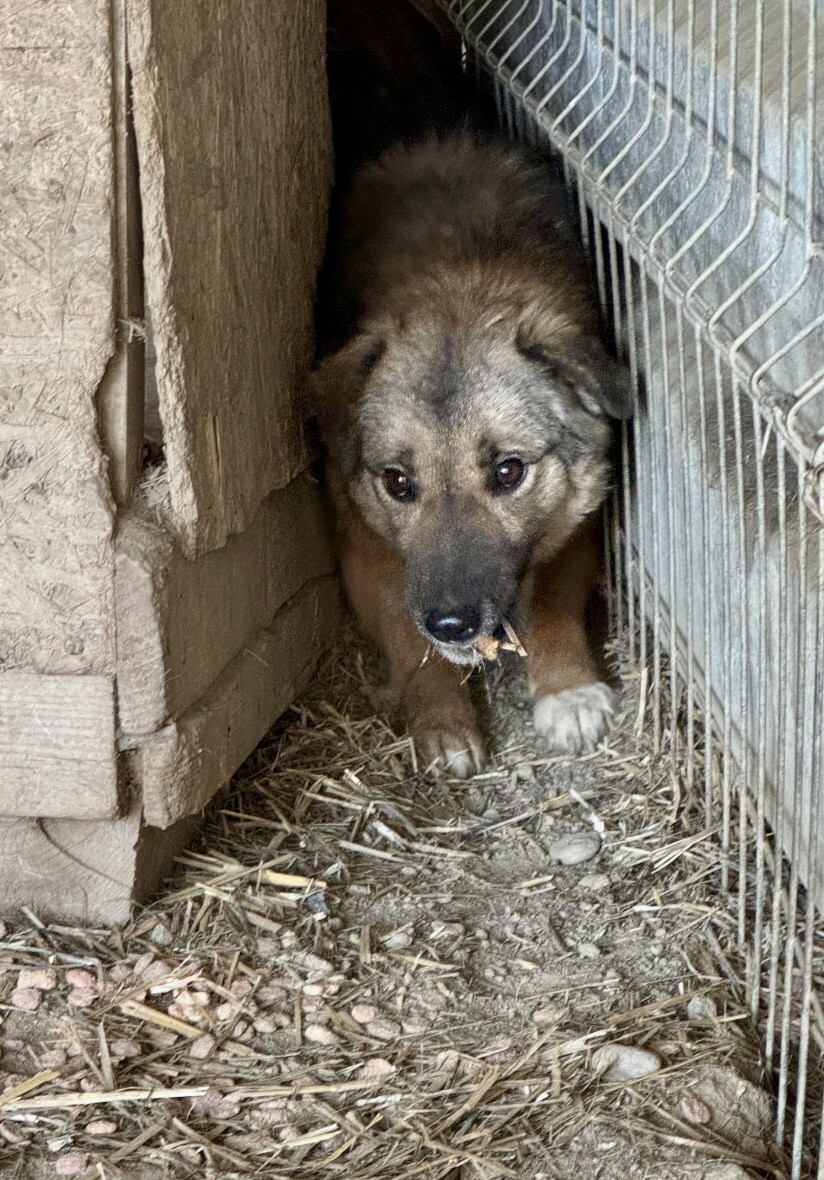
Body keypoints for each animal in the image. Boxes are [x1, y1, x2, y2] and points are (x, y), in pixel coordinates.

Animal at [314, 11, 632, 776]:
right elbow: (407, 637)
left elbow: (551, 600)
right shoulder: (360, 537)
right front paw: (442, 719)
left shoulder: (576, 509)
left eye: (509, 472)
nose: (453, 622)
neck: (462, 276)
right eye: (398, 483)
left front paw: (567, 686)